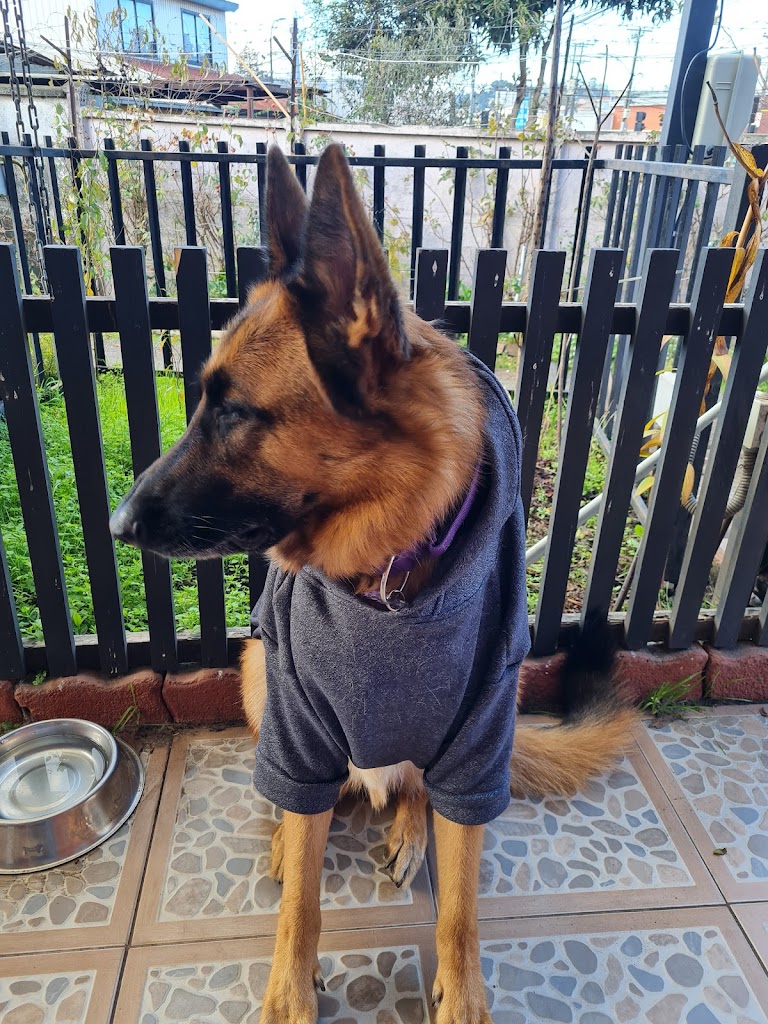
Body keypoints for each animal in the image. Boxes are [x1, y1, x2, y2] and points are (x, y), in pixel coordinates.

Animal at [111, 143, 635, 1024]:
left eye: (233, 413)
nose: (115, 524)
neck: (390, 582)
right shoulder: (297, 725)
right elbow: (301, 903)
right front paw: (289, 991)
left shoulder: (477, 746)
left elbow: (461, 906)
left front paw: (462, 993)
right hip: (261, 678)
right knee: (301, 802)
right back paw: (293, 836)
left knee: (414, 793)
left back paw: (411, 826)